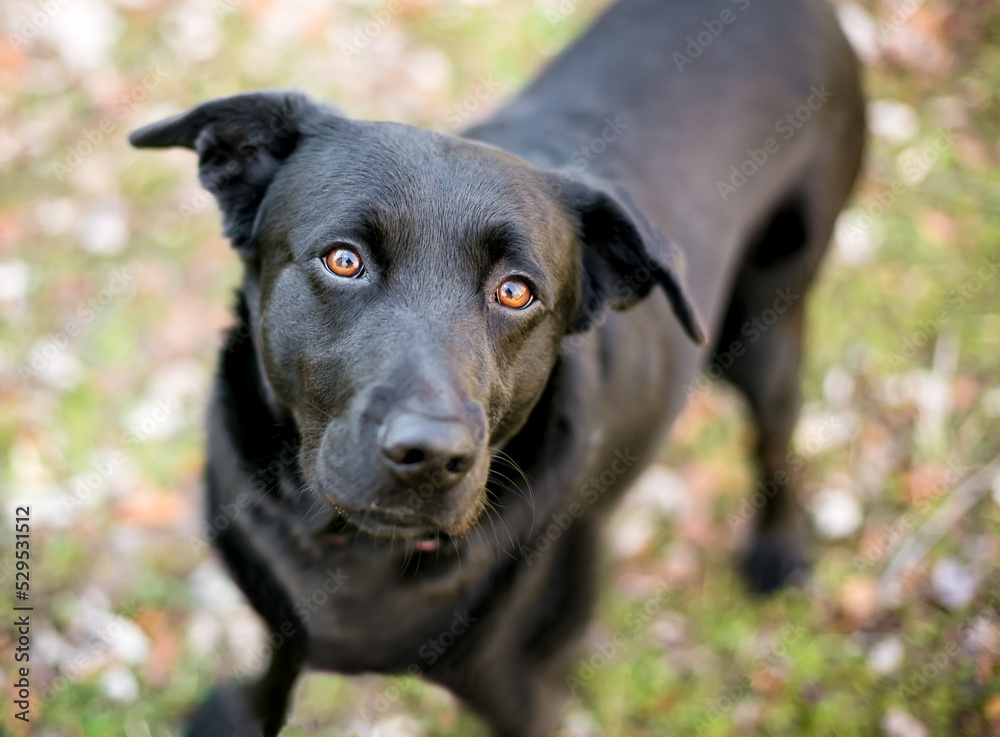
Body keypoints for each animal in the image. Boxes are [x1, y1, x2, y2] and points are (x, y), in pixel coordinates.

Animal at [131, 0, 868, 732]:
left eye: (516, 291)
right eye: (343, 259)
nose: (431, 455)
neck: (347, 549)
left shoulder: (521, 688)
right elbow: (275, 672)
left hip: (763, 324)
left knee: (775, 432)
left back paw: (777, 551)